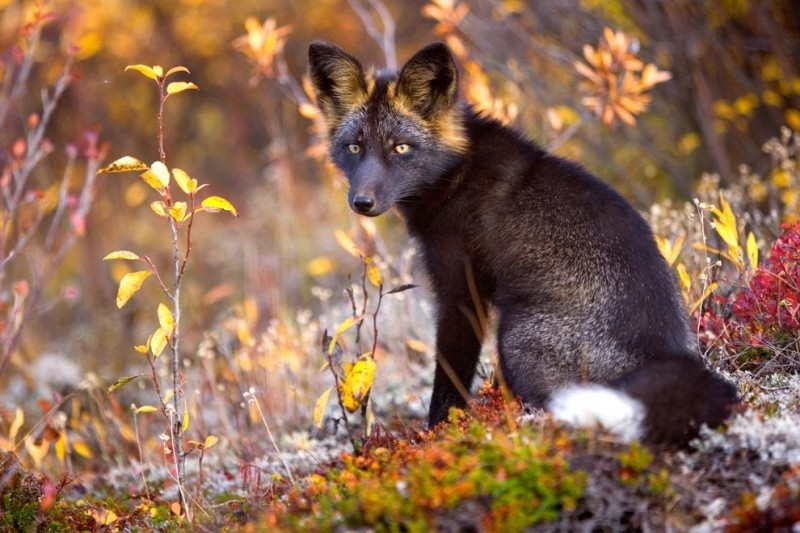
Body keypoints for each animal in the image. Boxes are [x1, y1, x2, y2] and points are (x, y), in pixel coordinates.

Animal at [306, 39, 736, 444]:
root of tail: (664, 355)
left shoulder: (461, 293)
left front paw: (438, 434)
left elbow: (448, 383)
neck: (457, 173)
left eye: (400, 148)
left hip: (513, 338)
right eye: (354, 147)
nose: (362, 202)